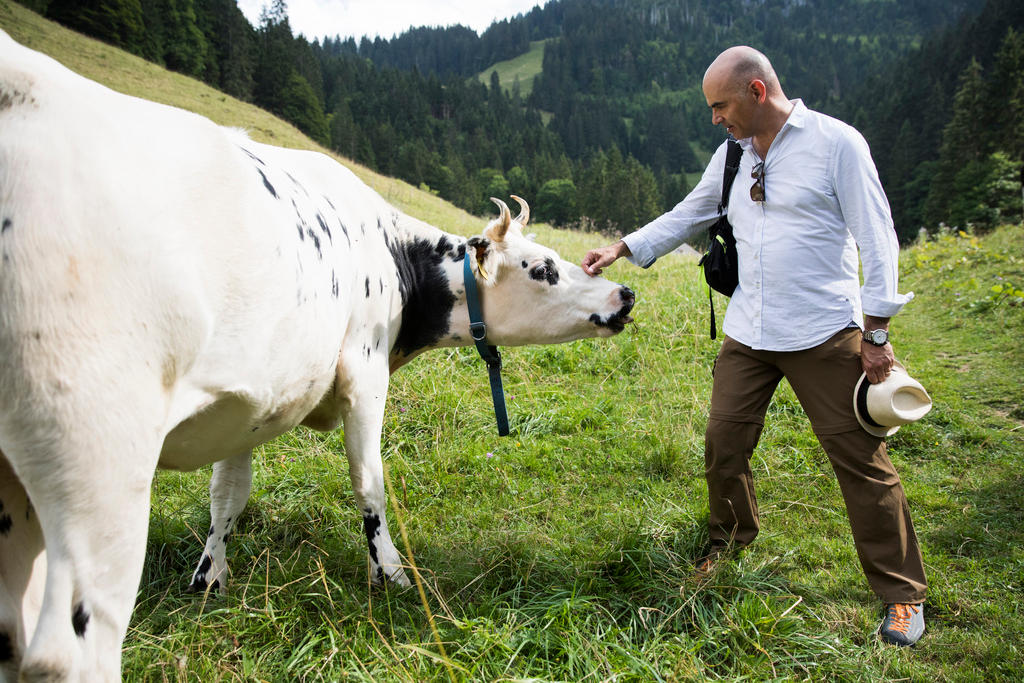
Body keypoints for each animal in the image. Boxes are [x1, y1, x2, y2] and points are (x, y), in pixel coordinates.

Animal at [0, 29, 630, 679]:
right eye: (543, 268)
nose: (624, 294)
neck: (392, 257)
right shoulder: (364, 373)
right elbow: (370, 481)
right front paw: (390, 574)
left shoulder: (249, 398)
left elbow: (228, 493)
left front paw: (209, 577)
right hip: (98, 462)